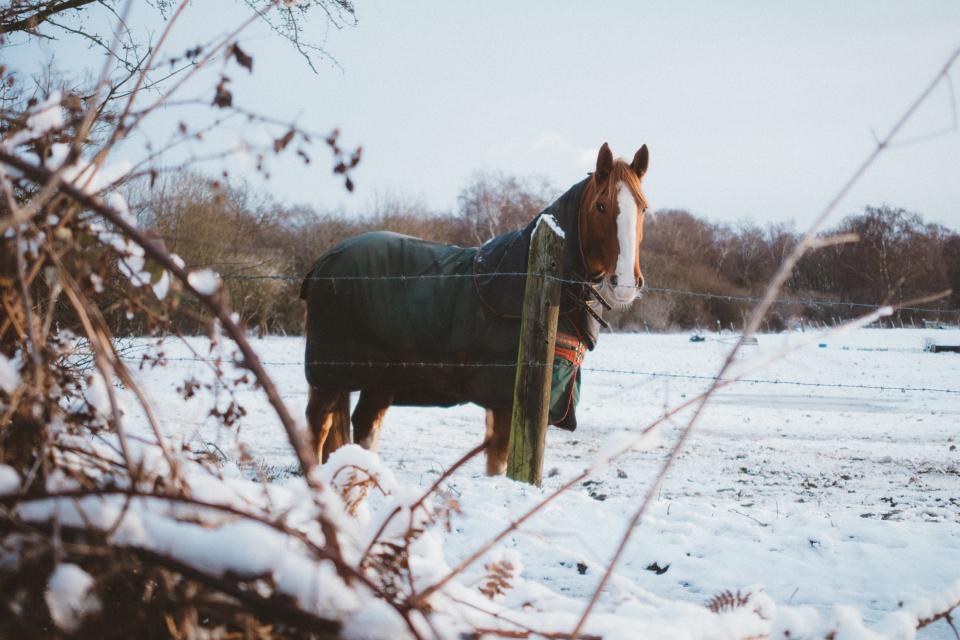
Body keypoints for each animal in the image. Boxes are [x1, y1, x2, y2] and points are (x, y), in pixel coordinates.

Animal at [300, 142, 650, 475]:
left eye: (643, 207)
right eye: (601, 206)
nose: (625, 284)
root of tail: (324, 262)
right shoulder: (505, 401)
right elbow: (499, 465)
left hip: (378, 379)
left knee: (364, 427)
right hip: (328, 376)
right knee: (318, 425)